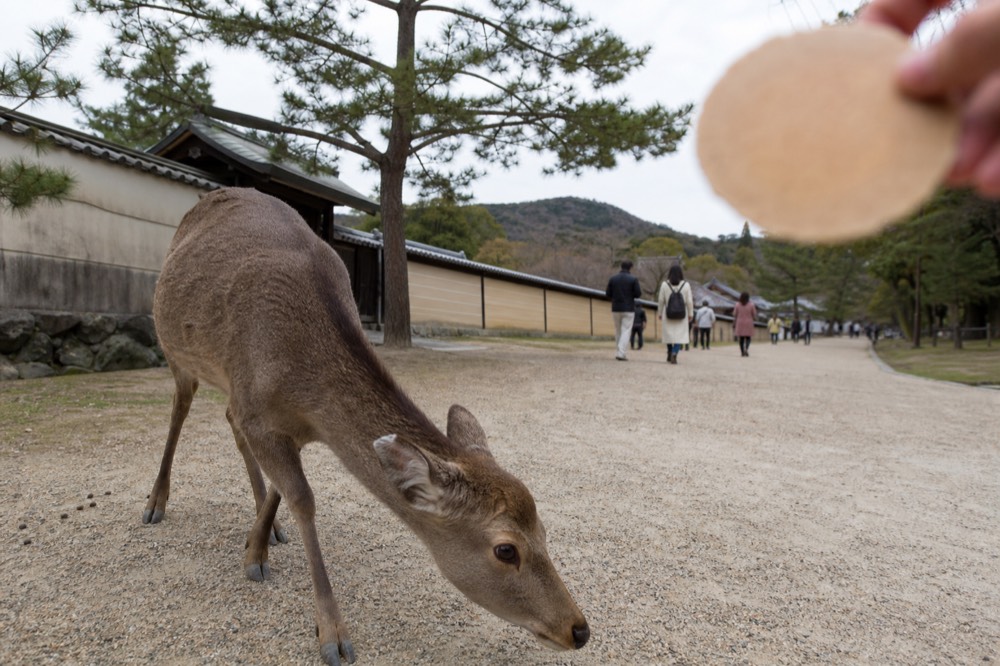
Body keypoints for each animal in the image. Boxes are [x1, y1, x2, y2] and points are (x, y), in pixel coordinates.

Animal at [142, 187, 590, 665]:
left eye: (544, 531)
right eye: (506, 550)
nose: (578, 629)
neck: (305, 386)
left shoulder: (286, 424)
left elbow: (283, 487)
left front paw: (255, 547)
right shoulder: (257, 409)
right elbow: (303, 499)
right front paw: (332, 635)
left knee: (227, 420)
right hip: (175, 349)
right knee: (180, 406)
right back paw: (155, 503)